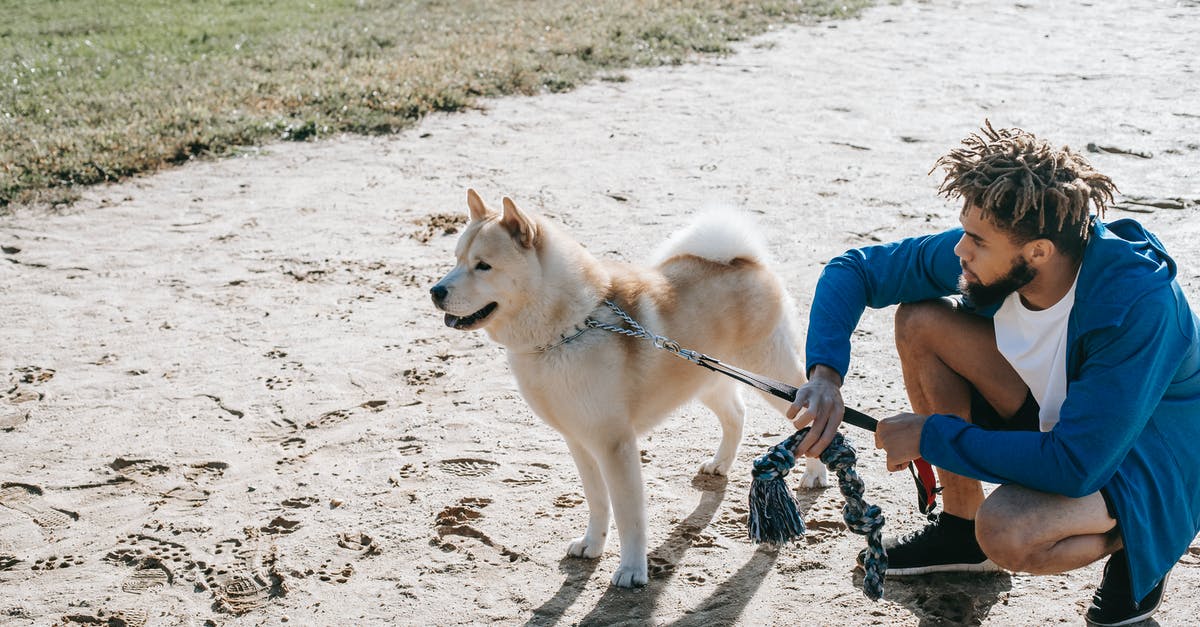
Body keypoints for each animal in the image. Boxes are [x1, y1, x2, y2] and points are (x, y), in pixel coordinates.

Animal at [432, 189, 825, 586]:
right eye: (456, 259)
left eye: (483, 266)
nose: (435, 291)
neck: (568, 328)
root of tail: (745, 261)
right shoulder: (580, 442)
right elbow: (597, 501)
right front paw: (592, 545)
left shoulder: (614, 445)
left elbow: (628, 514)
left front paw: (632, 570)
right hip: (705, 377)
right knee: (736, 414)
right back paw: (720, 463)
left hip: (769, 373)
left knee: (812, 417)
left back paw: (815, 473)